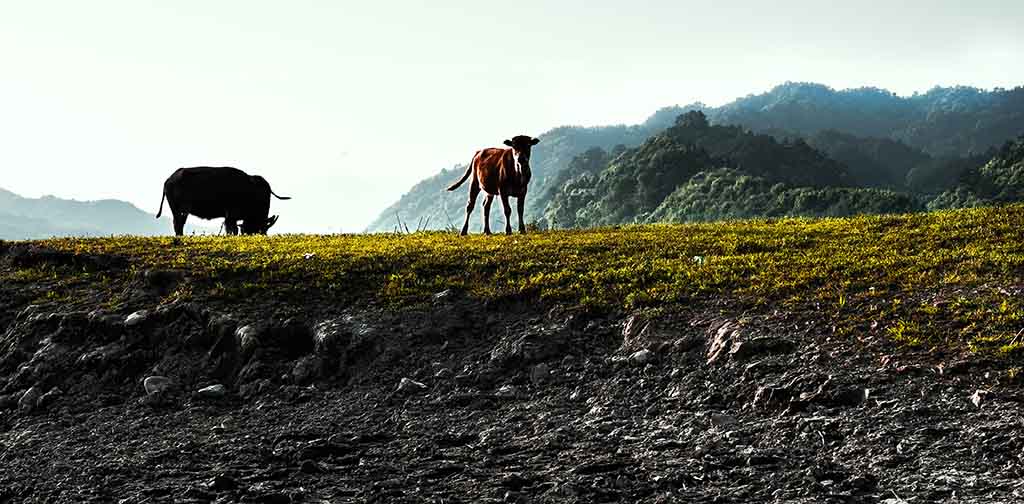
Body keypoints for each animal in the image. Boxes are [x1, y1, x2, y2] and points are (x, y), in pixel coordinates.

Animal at [155, 164, 292, 236]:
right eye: (260, 227)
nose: (262, 234)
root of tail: (168, 180)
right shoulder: (231, 215)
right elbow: (232, 230)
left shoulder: (230, 217)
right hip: (181, 210)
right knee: (178, 224)